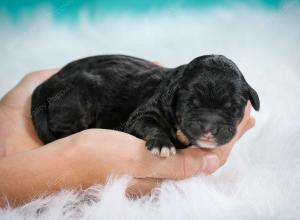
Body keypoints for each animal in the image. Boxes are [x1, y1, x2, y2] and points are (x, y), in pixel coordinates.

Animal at [31, 55, 260, 158]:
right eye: (189, 103)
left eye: (233, 108)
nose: (209, 129)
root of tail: (43, 88)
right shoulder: (143, 114)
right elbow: (151, 125)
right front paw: (162, 143)